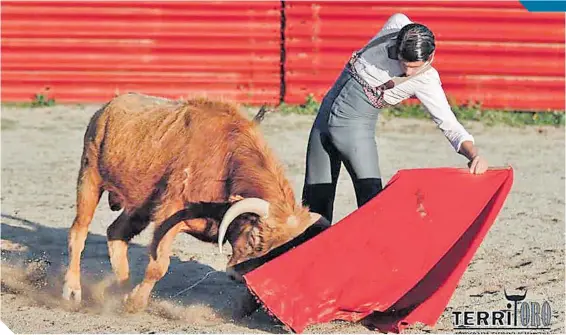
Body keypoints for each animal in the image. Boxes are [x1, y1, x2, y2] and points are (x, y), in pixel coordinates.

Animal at [62, 92, 326, 312]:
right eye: (254, 238)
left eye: (279, 253)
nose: (236, 275)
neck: (226, 164)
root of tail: (107, 107)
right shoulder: (169, 214)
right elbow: (159, 265)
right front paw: (135, 303)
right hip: (89, 178)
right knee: (79, 232)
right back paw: (72, 291)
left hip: (140, 206)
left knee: (116, 233)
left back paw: (122, 290)